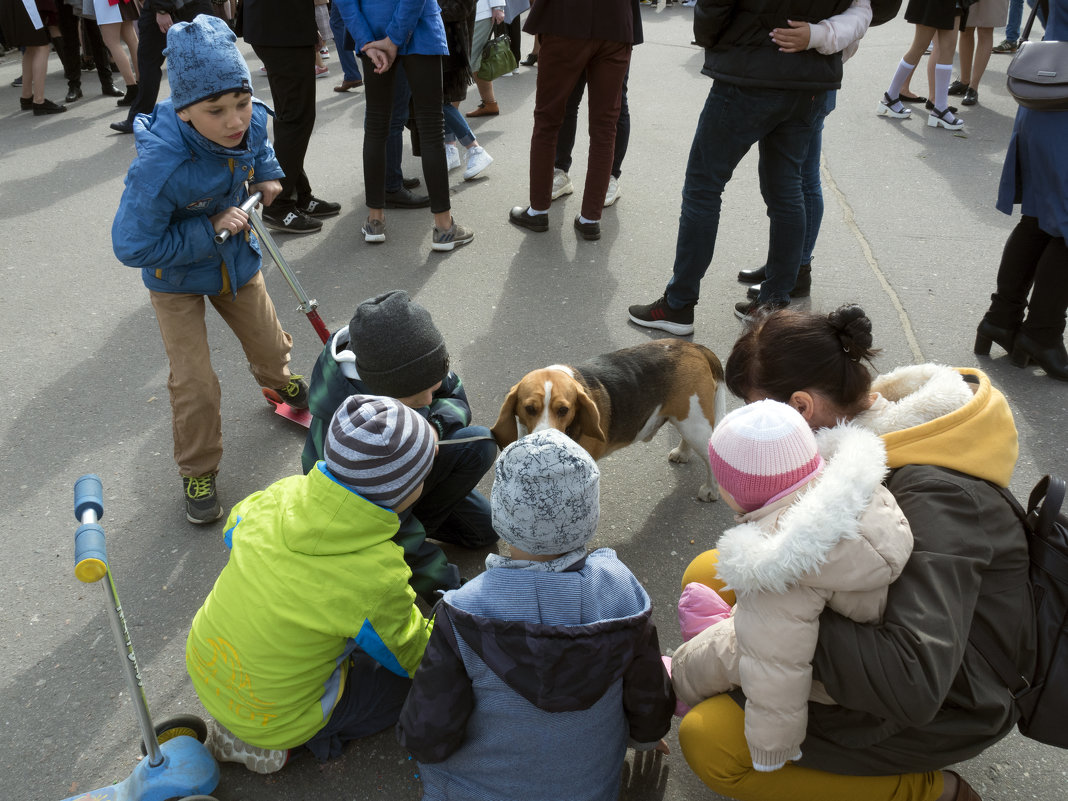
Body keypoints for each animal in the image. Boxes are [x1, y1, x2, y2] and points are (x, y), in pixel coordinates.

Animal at [489, 339, 726, 501]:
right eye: (529, 408)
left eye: (564, 410)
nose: (545, 441)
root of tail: (693, 346)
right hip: (688, 419)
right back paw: (682, 453)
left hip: (695, 425)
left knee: (710, 454)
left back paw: (711, 490)